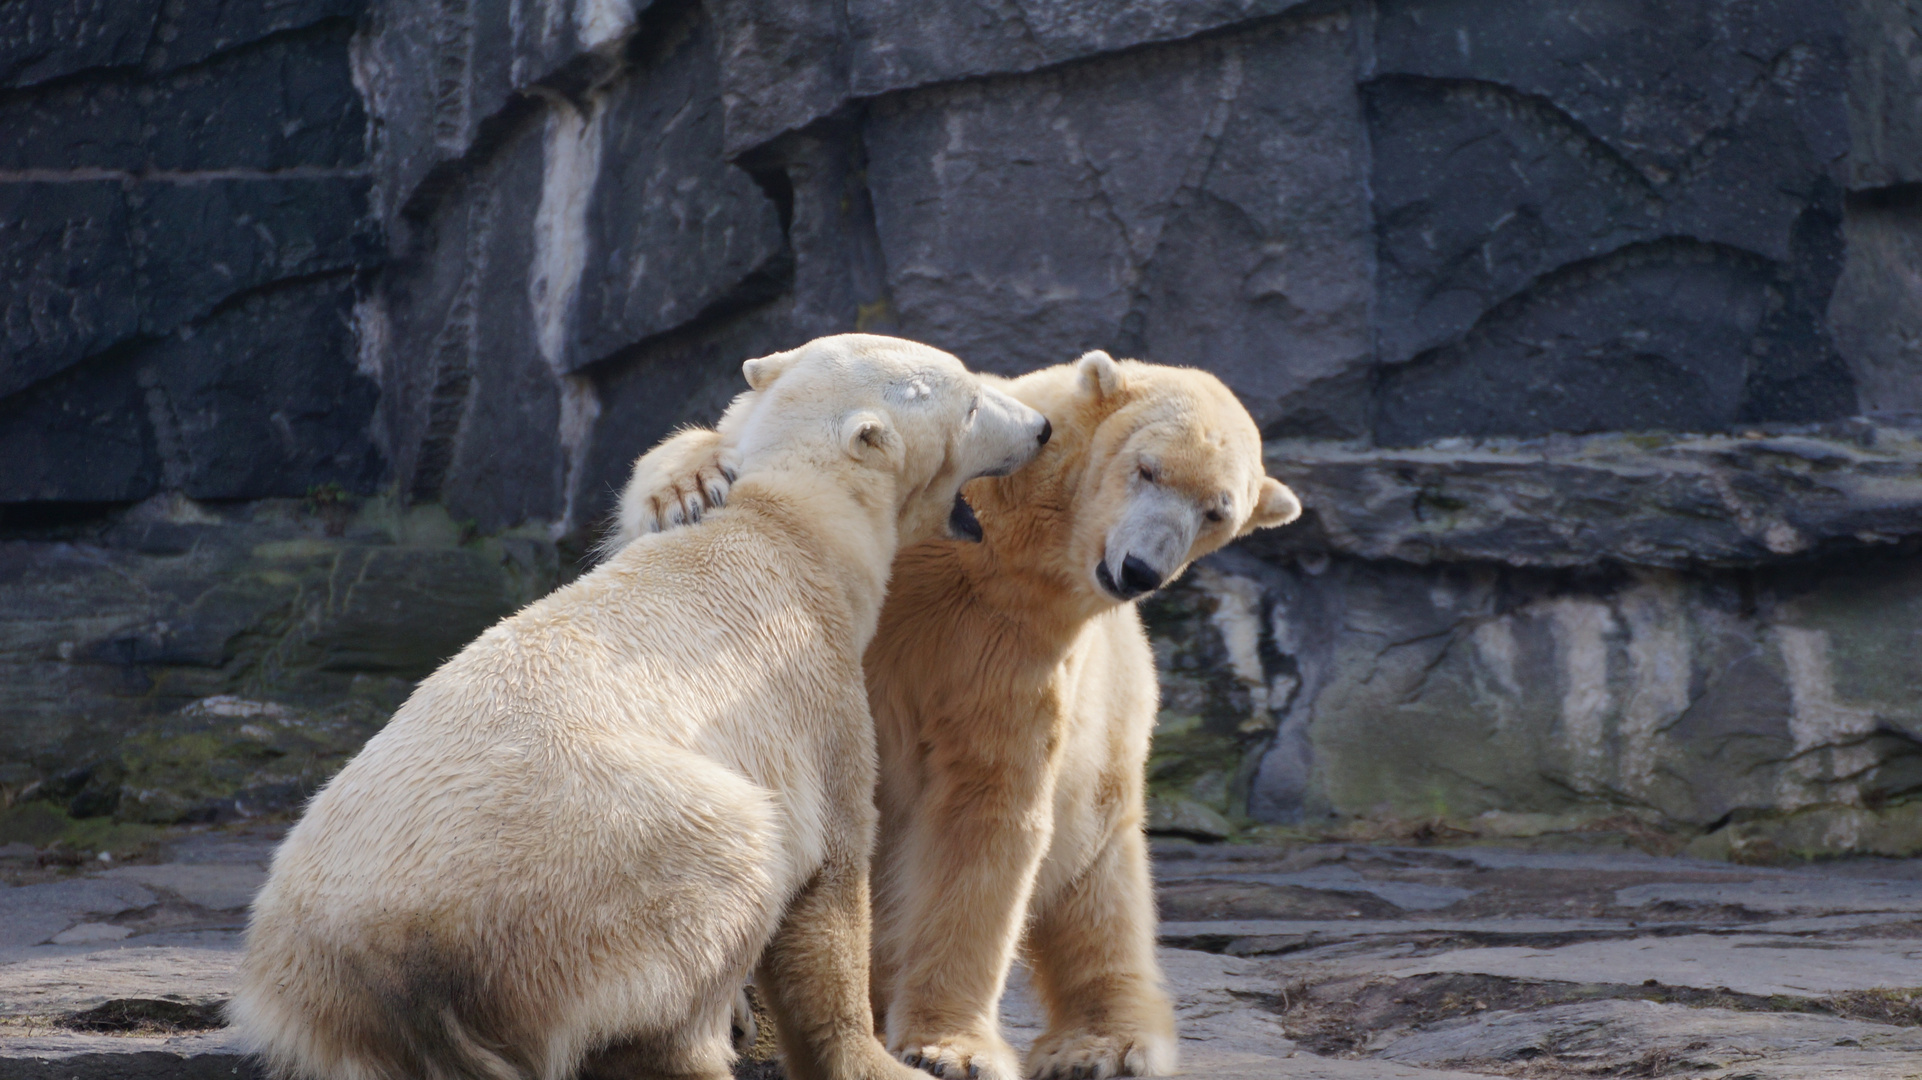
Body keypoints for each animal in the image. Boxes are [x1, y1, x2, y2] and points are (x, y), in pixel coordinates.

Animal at [236, 334, 1068, 1076]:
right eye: (970, 400)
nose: (1040, 426)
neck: (791, 527)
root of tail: (392, 967)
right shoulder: (811, 686)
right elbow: (828, 872)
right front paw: (871, 1060)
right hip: (600, 863)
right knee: (723, 865)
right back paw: (695, 1045)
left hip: (302, 982)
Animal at [615, 349, 1306, 1068]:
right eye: (1147, 468)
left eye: (1216, 512)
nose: (1140, 569)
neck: (1000, 549)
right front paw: (689, 488)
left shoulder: (1018, 650)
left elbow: (985, 810)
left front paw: (950, 1051)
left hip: (1110, 753)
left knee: (1101, 895)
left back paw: (1103, 1045)